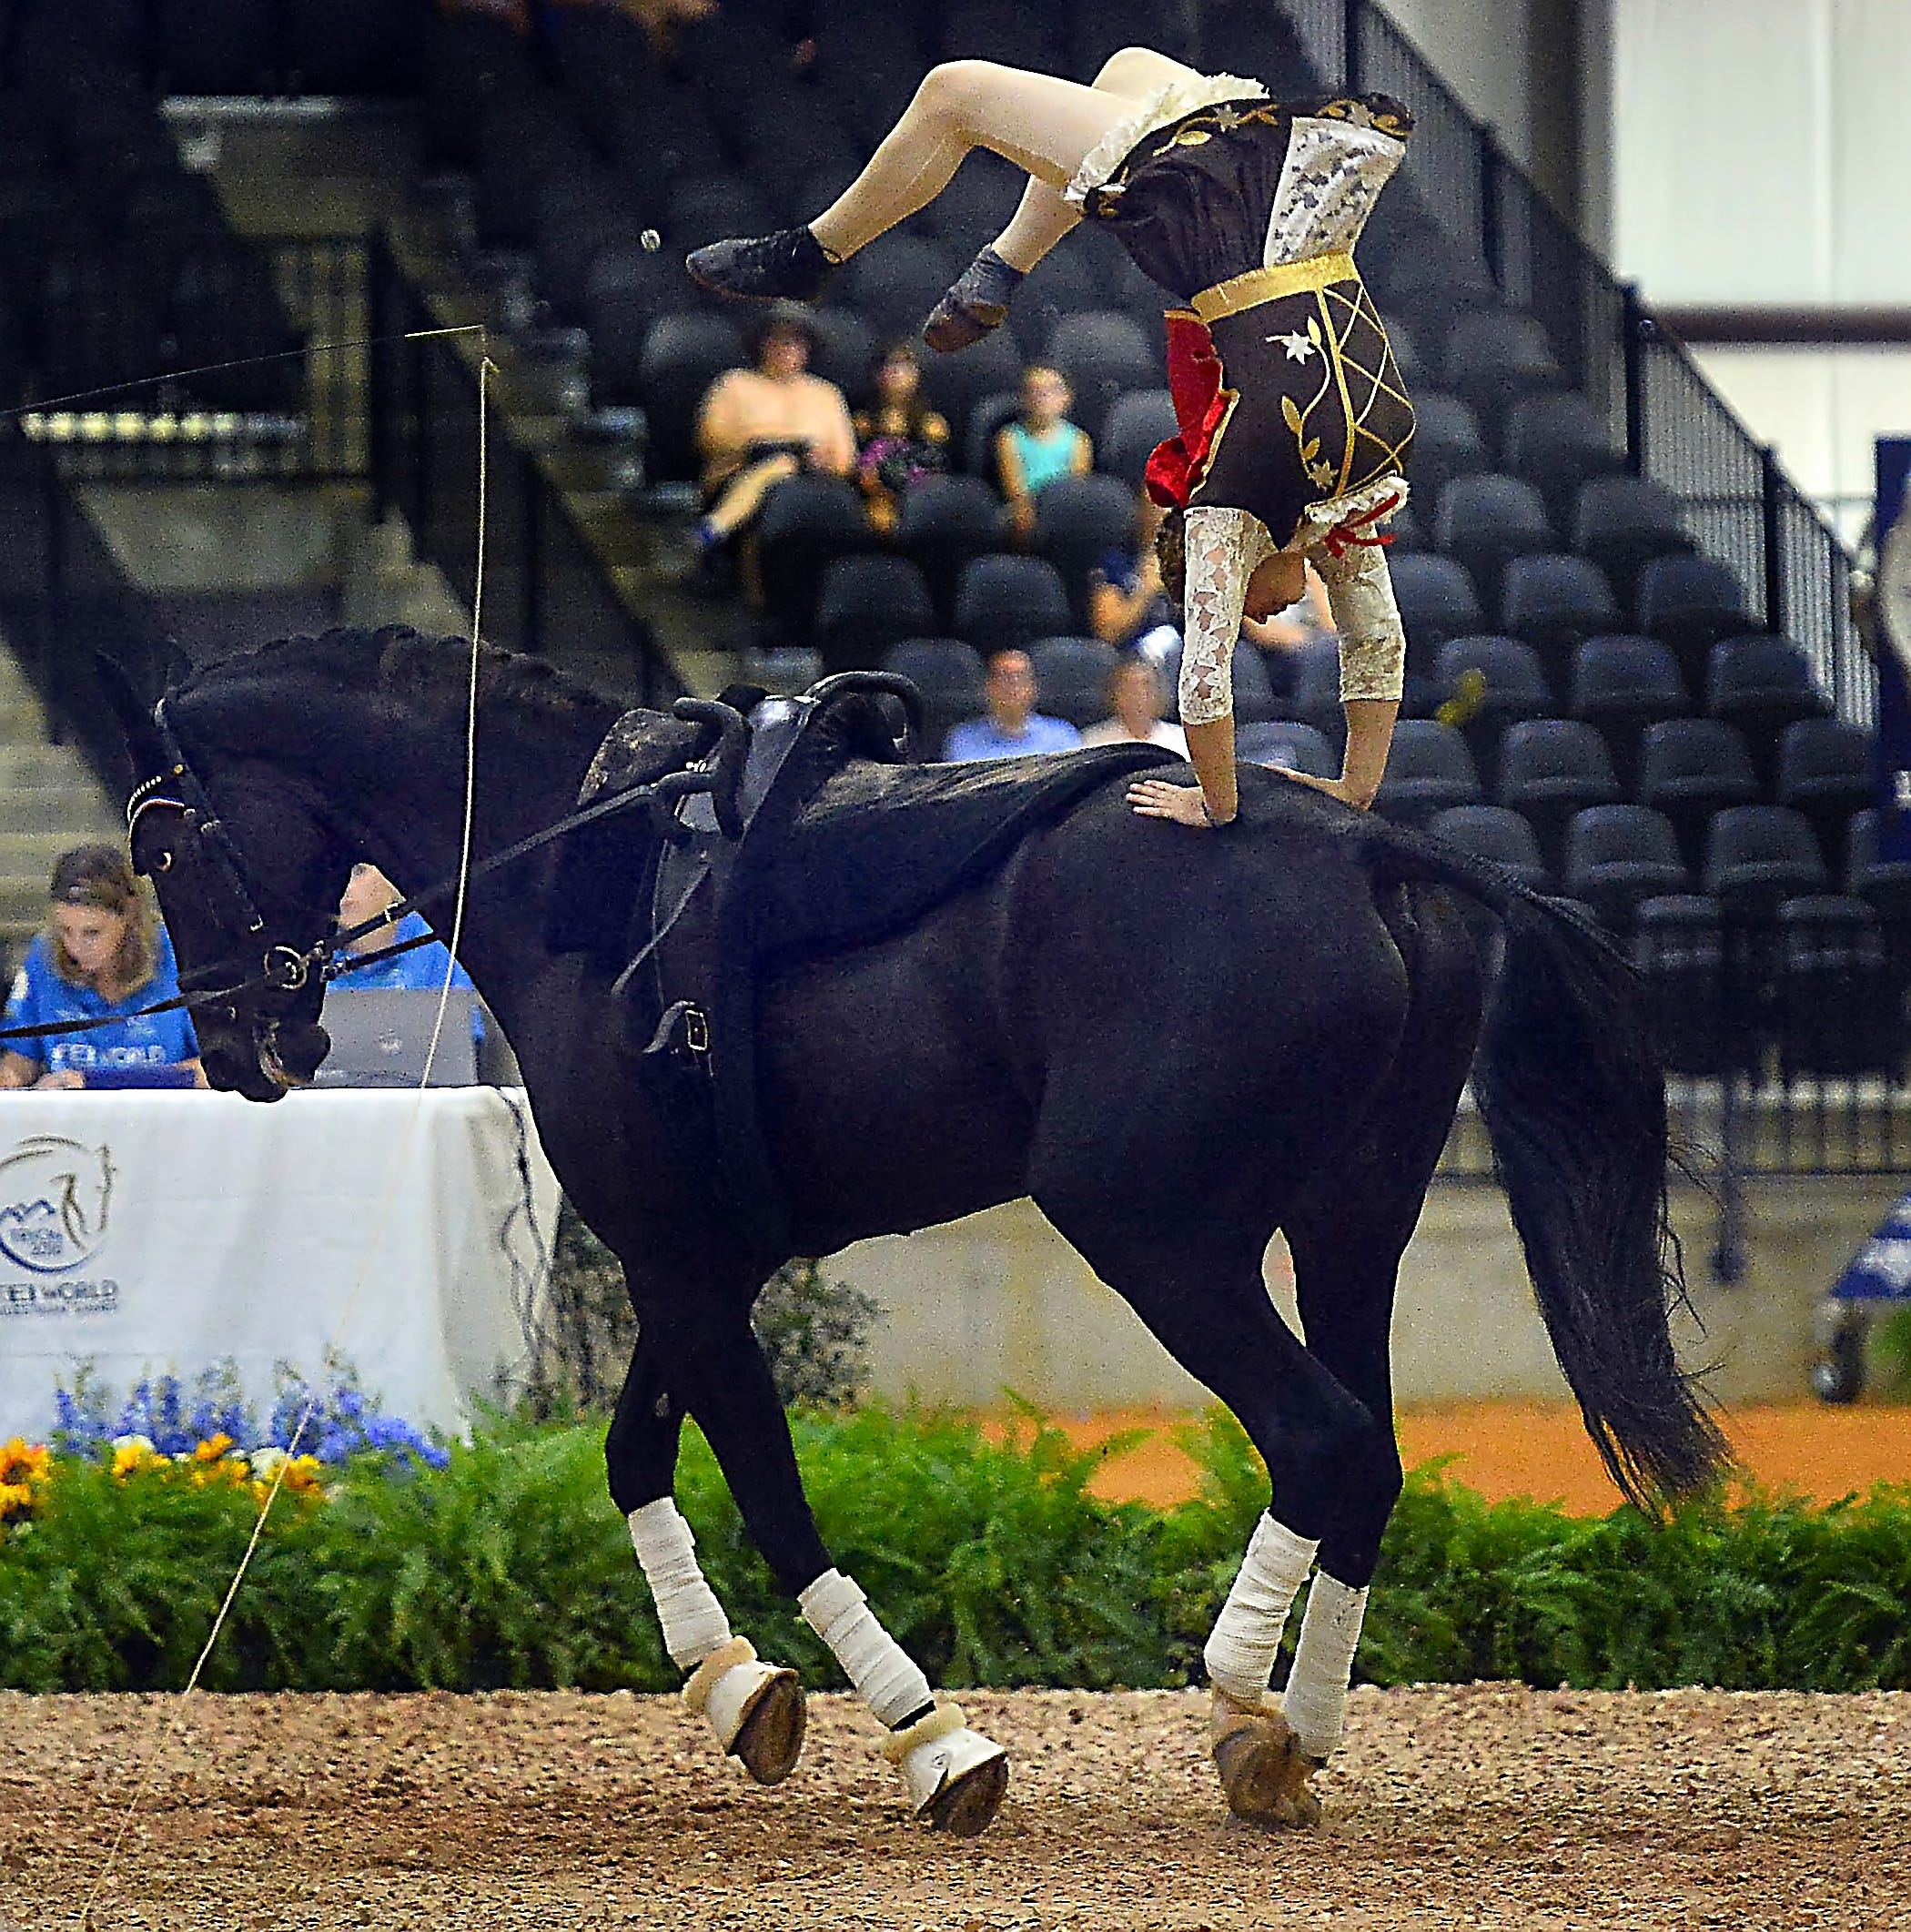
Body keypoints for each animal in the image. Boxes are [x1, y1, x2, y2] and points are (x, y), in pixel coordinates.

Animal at [104, 624, 1728, 1838]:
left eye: (165, 849)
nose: (242, 1043)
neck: (581, 862)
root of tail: (1373, 850)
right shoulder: (695, 1256)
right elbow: (636, 1454)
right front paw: (734, 1684)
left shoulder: (677, 1263)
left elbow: (766, 1488)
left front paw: (928, 1733)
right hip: (1346, 1229)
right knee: (1371, 1456)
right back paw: (1295, 1731)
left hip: (1161, 1235)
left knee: (1322, 1438)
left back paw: (1237, 1693)